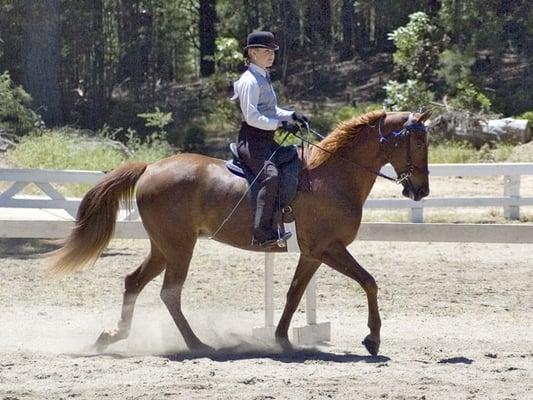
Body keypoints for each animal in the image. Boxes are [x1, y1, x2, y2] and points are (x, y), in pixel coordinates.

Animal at [47, 110, 430, 356]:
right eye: (417, 141)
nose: (421, 190)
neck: (332, 176)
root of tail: (150, 167)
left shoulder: (312, 253)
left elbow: (294, 294)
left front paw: (282, 339)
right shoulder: (328, 248)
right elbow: (368, 281)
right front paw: (373, 339)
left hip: (163, 248)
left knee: (134, 282)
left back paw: (111, 337)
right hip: (180, 248)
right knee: (170, 293)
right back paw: (196, 345)